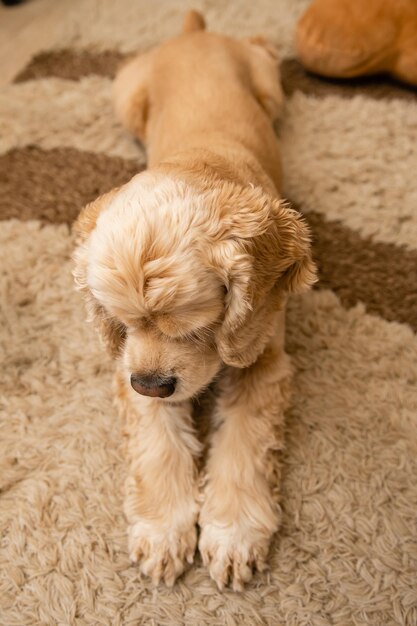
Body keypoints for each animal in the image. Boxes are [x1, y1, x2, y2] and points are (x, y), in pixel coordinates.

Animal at [72, 9, 316, 588]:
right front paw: (164, 533)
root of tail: (192, 32)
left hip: (268, 89)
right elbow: (157, 441)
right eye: (120, 321)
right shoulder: (133, 369)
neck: (199, 162)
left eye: (197, 325)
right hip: (127, 96)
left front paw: (232, 536)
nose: (152, 384)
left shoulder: (260, 358)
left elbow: (245, 443)